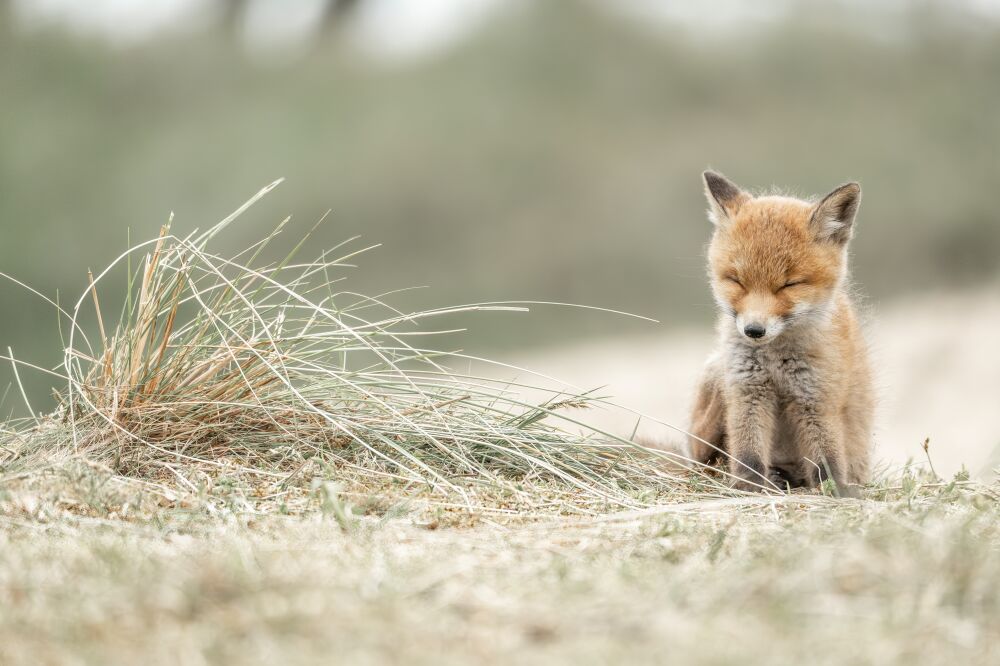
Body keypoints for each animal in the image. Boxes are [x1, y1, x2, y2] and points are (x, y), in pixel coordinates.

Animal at [692, 169, 872, 496]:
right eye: (737, 281)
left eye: (789, 285)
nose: (753, 330)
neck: (776, 360)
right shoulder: (747, 389)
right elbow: (748, 452)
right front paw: (748, 487)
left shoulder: (816, 396)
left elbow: (826, 456)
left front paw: (836, 490)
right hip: (716, 379)